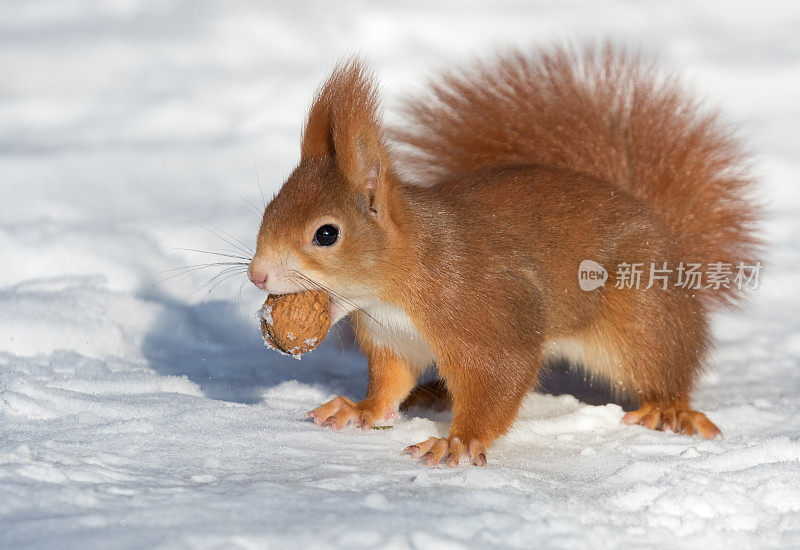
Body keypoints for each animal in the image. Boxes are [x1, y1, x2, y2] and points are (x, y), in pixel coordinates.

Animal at [250, 43, 764, 468]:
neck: (395, 287)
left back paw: (668, 410)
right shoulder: (392, 338)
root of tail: (665, 235)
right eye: (268, 209)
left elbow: (500, 377)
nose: (256, 276)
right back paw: (431, 393)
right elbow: (389, 385)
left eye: (326, 234)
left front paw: (457, 442)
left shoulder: (485, 316)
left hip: (642, 316)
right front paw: (358, 409)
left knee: (663, 363)